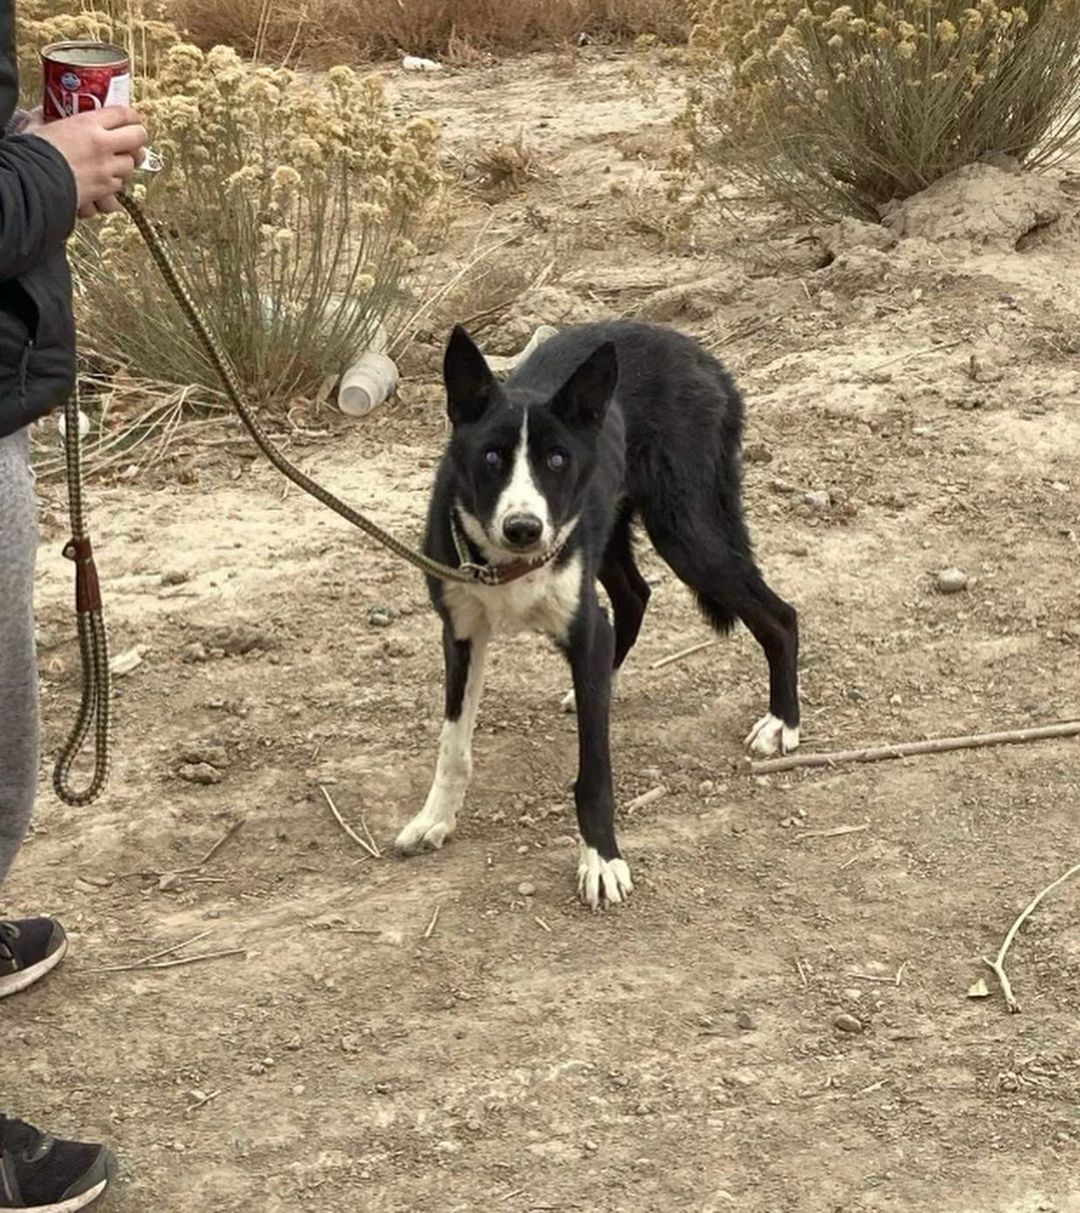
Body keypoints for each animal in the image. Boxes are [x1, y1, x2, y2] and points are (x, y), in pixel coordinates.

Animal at [390, 322, 796, 912]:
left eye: (557, 461)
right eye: (491, 458)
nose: (523, 528)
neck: (509, 567)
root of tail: (703, 356)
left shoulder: (583, 629)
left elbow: (595, 773)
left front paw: (601, 860)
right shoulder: (461, 633)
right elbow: (453, 748)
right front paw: (435, 819)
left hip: (686, 533)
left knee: (780, 616)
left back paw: (783, 721)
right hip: (616, 535)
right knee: (634, 596)